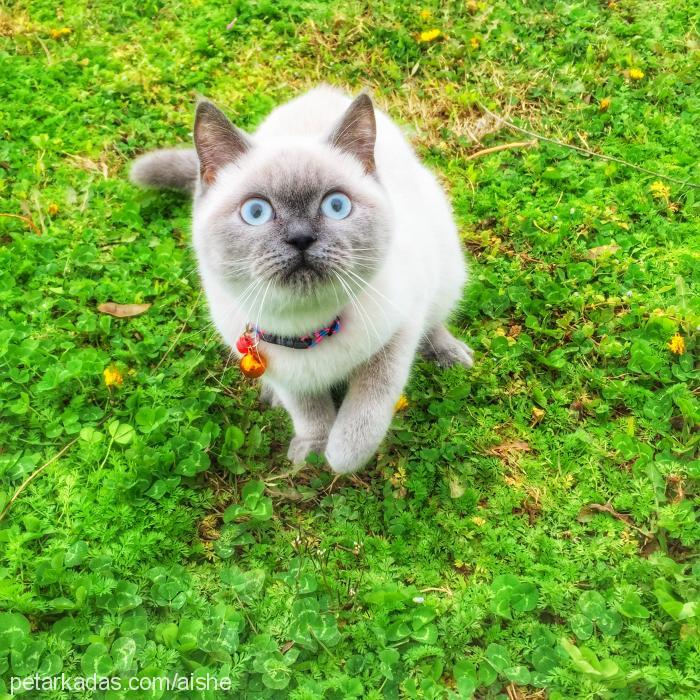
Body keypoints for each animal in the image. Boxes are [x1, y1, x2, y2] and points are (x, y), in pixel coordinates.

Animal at [129, 85, 474, 474]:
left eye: (336, 206)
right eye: (256, 212)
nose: (300, 238)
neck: (308, 330)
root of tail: (323, 91)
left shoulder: (399, 332)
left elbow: (368, 405)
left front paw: (340, 456)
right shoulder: (288, 374)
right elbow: (308, 409)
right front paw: (312, 449)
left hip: (445, 266)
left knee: (436, 319)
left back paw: (451, 354)